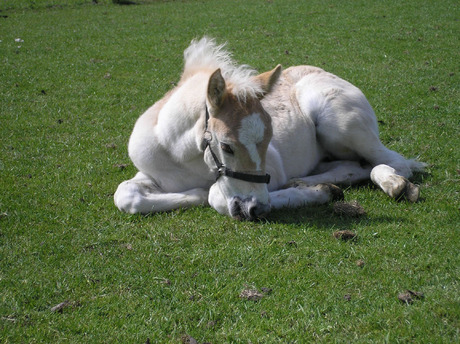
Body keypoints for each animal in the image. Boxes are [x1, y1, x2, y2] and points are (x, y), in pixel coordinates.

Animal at [114, 37, 424, 220]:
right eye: (226, 146)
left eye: (268, 141)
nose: (256, 208)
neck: (180, 156)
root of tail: (329, 74)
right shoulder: (152, 173)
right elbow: (125, 195)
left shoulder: (272, 169)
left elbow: (216, 196)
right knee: (354, 165)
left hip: (341, 125)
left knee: (394, 161)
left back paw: (394, 184)